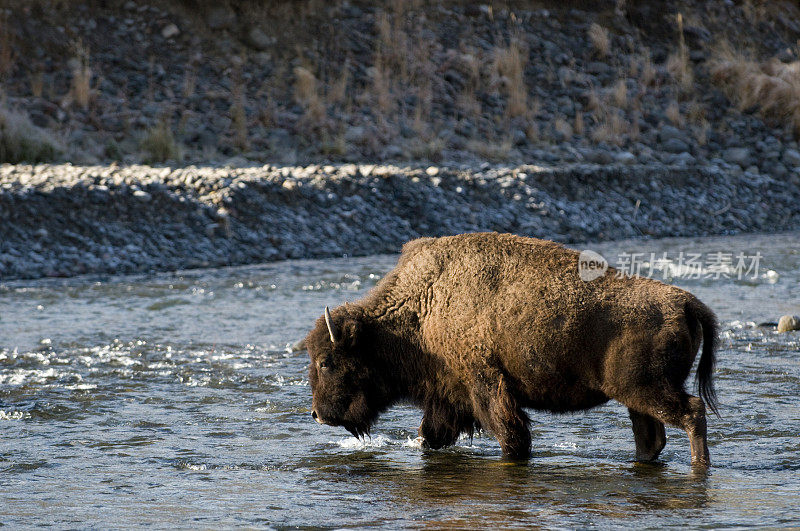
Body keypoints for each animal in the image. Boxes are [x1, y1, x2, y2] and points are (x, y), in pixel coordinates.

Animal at [306, 235, 720, 468]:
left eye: (327, 362)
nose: (317, 414)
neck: (424, 306)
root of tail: (684, 302)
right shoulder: (448, 397)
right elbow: (432, 435)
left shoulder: (486, 386)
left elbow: (511, 435)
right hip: (636, 398)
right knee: (651, 437)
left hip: (648, 389)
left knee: (690, 413)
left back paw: (700, 467)